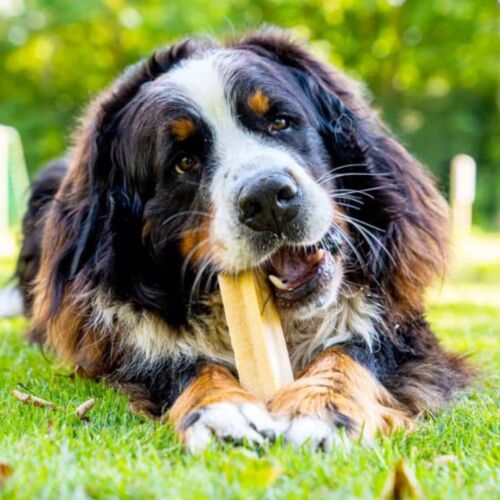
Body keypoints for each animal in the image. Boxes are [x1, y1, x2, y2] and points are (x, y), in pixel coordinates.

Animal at [15, 31, 468, 454]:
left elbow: (351, 352)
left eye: (280, 123)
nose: (267, 198)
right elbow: (184, 365)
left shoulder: (401, 327)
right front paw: (222, 412)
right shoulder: (123, 348)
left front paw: (319, 409)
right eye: (184, 162)